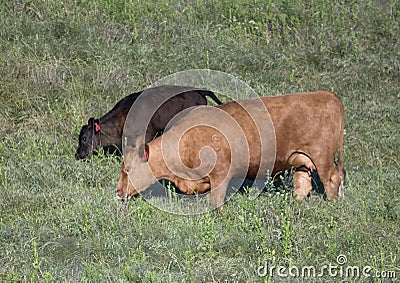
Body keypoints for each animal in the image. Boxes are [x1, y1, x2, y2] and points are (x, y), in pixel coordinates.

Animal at [116, 91, 346, 211]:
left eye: (127, 170)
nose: (118, 192)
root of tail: (327, 95)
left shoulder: (221, 174)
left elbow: (216, 201)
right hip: (302, 159)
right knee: (303, 184)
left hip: (322, 156)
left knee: (332, 179)